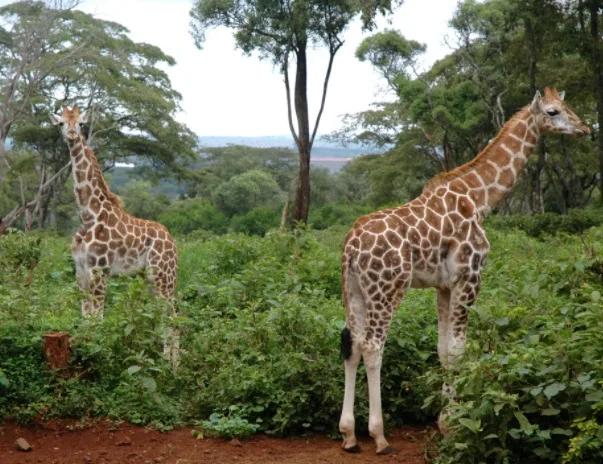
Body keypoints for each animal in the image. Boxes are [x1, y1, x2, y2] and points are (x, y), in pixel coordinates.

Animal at [50, 105, 179, 366]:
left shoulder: (100, 270)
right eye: (61, 123)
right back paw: (166, 365)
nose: (72, 135)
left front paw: (98, 360)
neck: (88, 216)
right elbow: (85, 320)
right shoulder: (80, 271)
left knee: (173, 319)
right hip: (150, 279)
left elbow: (97, 321)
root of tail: (173, 241)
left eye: (81, 123)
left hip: (163, 276)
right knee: (165, 317)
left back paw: (173, 368)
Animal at [340, 87, 588, 454]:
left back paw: (349, 435)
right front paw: (454, 424)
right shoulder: (470, 278)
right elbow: (458, 351)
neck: (479, 198)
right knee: (373, 347)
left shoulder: (443, 285)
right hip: (387, 290)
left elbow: (443, 351)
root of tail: (351, 246)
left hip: (355, 290)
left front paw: (446, 419)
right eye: (554, 112)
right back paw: (379, 436)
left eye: (567, 106)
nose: (585, 128)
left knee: (353, 345)